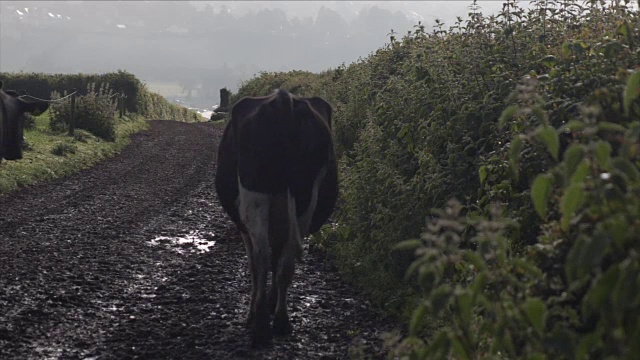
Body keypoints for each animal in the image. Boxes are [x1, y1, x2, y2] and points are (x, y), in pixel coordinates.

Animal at [216, 87, 340, 346]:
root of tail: (284, 100)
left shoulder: (245, 228)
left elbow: (256, 265)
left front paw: (256, 309)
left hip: (255, 195)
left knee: (262, 257)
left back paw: (261, 323)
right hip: (303, 199)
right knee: (285, 263)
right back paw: (280, 321)